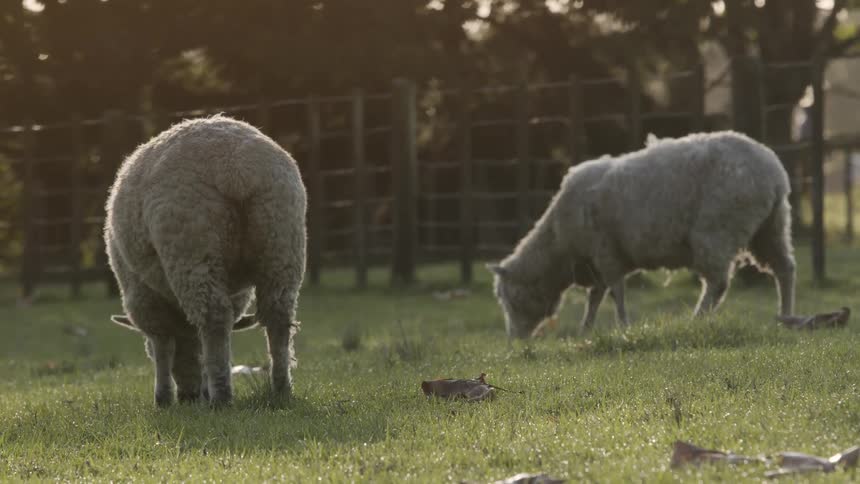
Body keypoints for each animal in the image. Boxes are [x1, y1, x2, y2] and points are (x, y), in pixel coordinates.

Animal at [104, 115, 306, 406]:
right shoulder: (237, 295)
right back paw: (280, 389)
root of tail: (236, 166)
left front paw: (163, 398)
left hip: (192, 246)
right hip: (281, 240)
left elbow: (162, 346)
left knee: (214, 316)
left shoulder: (141, 296)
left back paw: (221, 397)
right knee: (278, 317)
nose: (189, 395)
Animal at [488, 131, 796, 338]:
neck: (559, 244)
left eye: (507, 298)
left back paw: (696, 319)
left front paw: (623, 326)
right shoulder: (597, 261)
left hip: (717, 231)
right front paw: (586, 330)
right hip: (771, 227)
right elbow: (595, 297)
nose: (515, 340)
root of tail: (773, 172)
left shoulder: (605, 252)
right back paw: (786, 316)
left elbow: (615, 292)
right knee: (784, 269)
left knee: (718, 283)